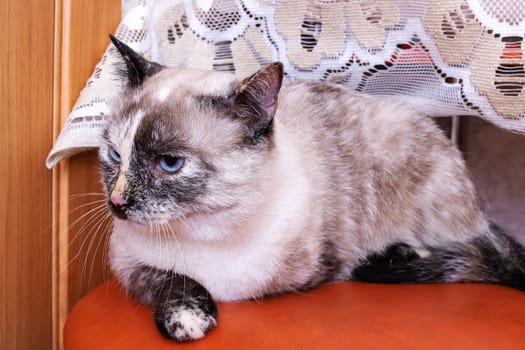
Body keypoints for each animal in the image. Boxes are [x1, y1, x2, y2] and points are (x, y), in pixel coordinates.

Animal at [99, 35, 524, 342]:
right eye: (114, 155)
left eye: (170, 163)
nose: (117, 202)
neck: (205, 231)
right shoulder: (127, 263)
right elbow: (168, 278)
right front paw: (187, 318)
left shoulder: (320, 268)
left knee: (472, 248)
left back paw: (398, 255)